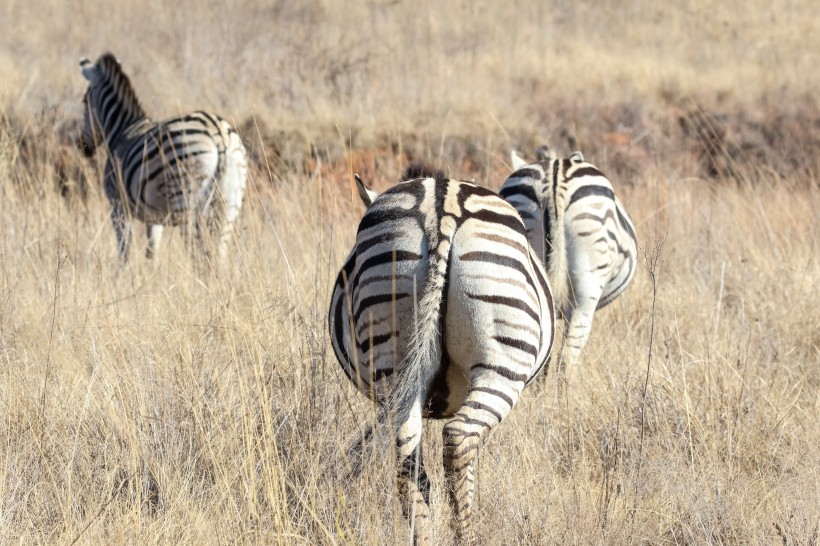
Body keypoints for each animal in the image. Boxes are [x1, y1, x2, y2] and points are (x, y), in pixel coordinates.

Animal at [79, 52, 248, 262]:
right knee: (218, 254)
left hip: (185, 199)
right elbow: (151, 251)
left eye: (84, 102)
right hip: (230, 204)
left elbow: (124, 250)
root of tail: (219, 134)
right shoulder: (154, 216)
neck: (122, 129)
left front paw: (123, 271)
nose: (83, 147)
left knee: (197, 254)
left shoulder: (117, 204)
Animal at [328, 164, 556, 540]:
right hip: (502, 367)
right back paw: (467, 536)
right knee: (459, 439)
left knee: (407, 457)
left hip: (390, 350)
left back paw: (422, 535)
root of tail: (442, 209)